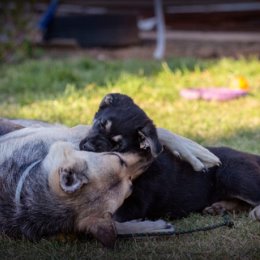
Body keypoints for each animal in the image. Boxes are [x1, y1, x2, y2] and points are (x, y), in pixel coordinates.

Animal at [80, 93, 260, 221]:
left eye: (117, 145)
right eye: (100, 124)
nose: (86, 148)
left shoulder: (133, 205)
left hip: (232, 173)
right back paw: (219, 208)